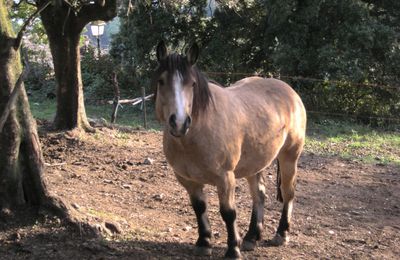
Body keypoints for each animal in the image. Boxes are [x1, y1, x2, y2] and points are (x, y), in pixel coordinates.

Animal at [152, 40, 306, 258]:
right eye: (161, 81)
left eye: (192, 84)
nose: (179, 123)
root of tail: (289, 92)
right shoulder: (187, 179)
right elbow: (199, 207)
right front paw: (204, 242)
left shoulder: (225, 177)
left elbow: (228, 213)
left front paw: (233, 249)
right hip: (255, 164)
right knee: (259, 195)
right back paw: (251, 237)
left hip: (289, 157)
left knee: (288, 192)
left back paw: (281, 234)